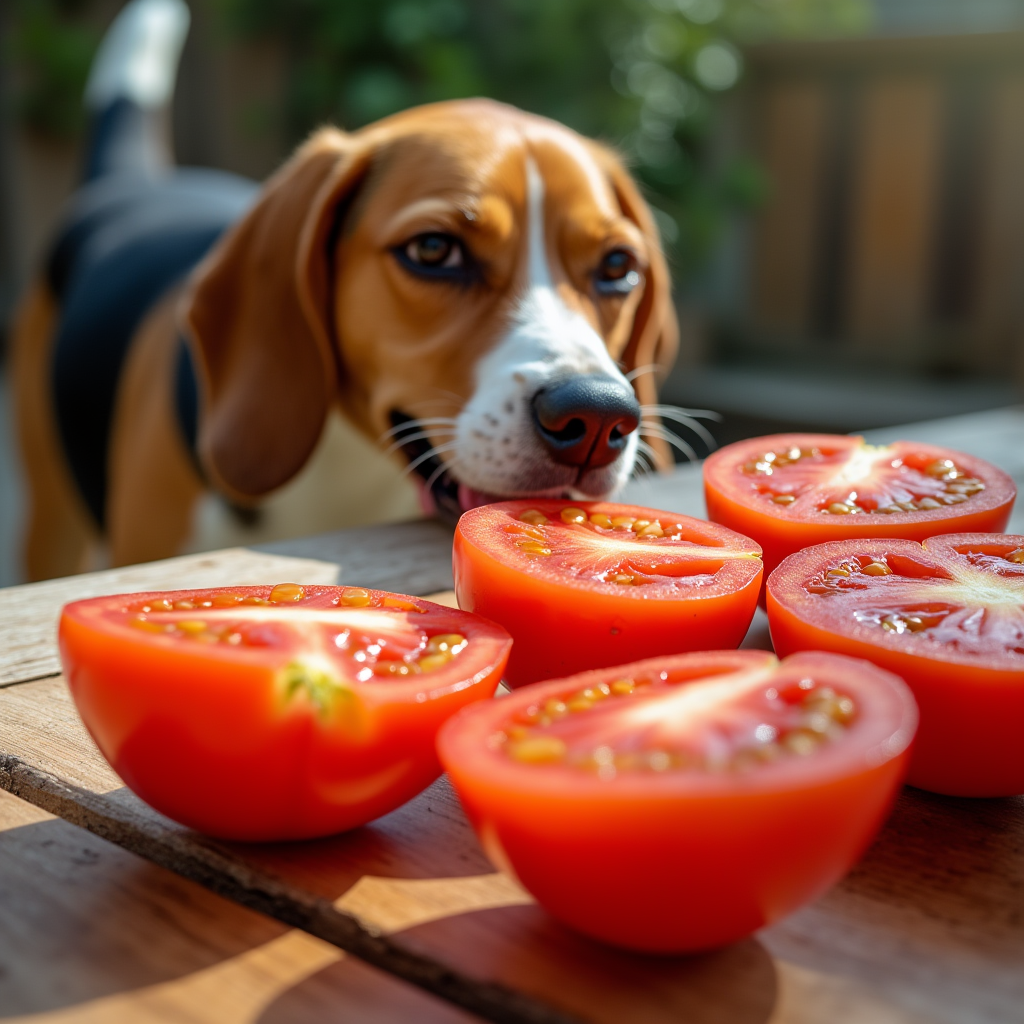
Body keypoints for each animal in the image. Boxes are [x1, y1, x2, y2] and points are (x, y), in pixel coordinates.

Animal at [12, 8, 679, 581]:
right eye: (433, 250)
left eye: (617, 267)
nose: (598, 416)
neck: (344, 468)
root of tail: (132, 186)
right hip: (50, 518)